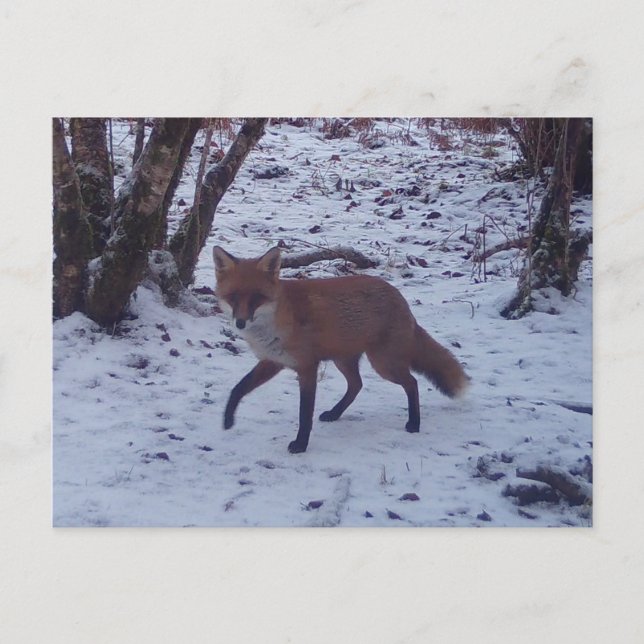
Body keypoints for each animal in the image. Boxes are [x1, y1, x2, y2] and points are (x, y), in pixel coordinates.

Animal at [213, 245, 468, 454]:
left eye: (257, 298)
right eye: (233, 297)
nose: (240, 323)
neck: (277, 321)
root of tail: (400, 297)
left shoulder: (307, 367)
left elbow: (305, 413)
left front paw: (301, 444)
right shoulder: (273, 361)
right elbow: (238, 388)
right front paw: (227, 419)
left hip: (383, 364)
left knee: (411, 383)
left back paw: (414, 423)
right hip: (344, 360)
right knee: (357, 385)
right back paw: (335, 413)